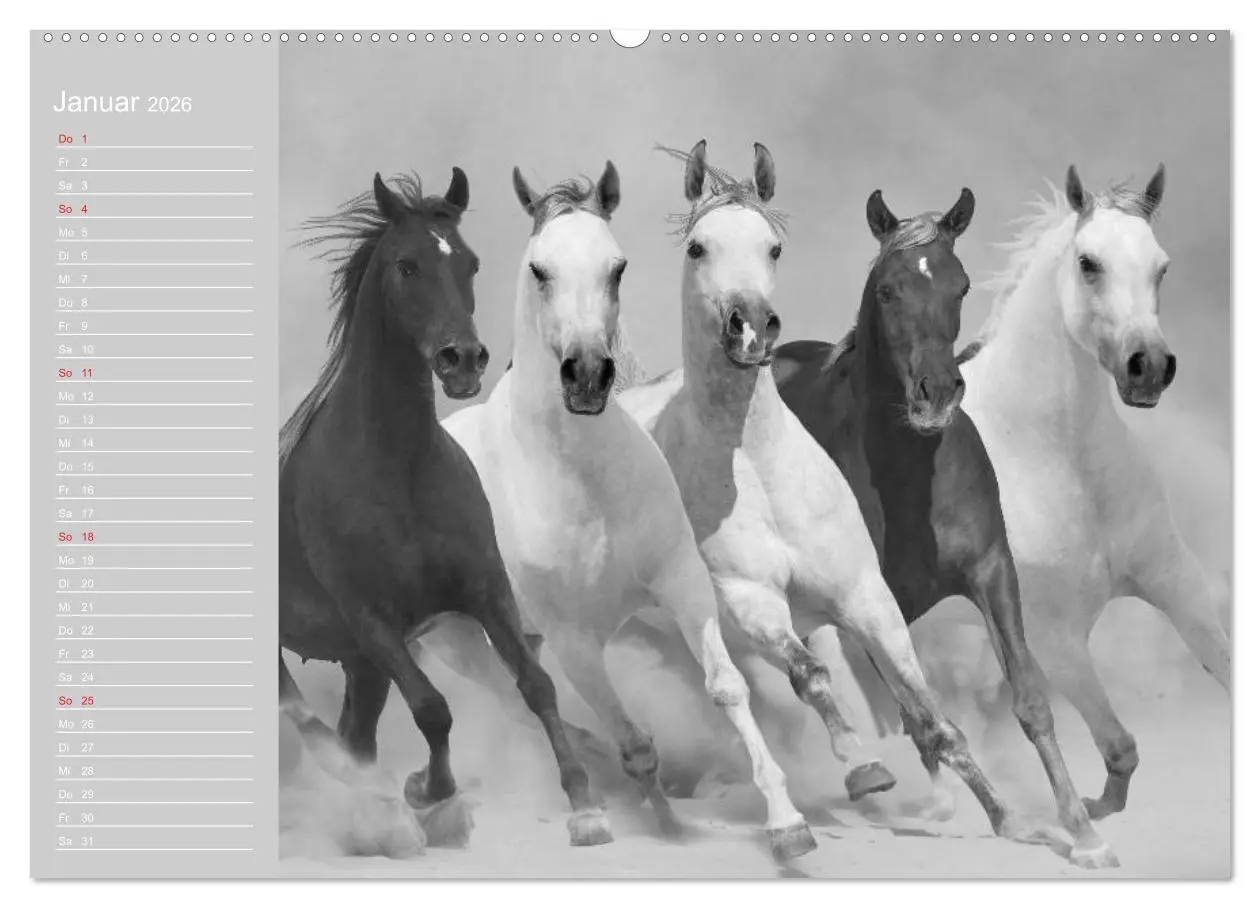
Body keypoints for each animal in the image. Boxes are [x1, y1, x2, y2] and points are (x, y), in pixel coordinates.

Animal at [276, 169, 610, 850]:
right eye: (407, 265)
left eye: (470, 263)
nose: (464, 358)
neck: (399, 471)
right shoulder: (373, 620)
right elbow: (433, 708)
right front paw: (429, 792)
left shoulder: (483, 591)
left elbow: (537, 685)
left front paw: (585, 807)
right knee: (301, 714)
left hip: (362, 666)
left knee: (357, 731)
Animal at [438, 161, 816, 862]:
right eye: (538, 269)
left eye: (616, 267)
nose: (587, 375)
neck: (584, 483)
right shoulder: (573, 639)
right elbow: (633, 743)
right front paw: (657, 822)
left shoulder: (680, 582)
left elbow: (727, 688)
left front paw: (785, 821)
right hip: (464, 643)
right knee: (526, 706)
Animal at [772, 179, 1113, 868]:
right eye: (887, 289)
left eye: (959, 286)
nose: (937, 392)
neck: (911, 475)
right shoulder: (872, 600)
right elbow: (919, 713)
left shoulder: (991, 571)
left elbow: (1029, 699)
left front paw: (1083, 833)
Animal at [954, 165, 1231, 822]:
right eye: (1088, 263)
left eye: (1161, 267)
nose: (1148, 366)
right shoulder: (1055, 640)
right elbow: (1119, 746)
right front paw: (1088, 812)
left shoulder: (1178, 586)